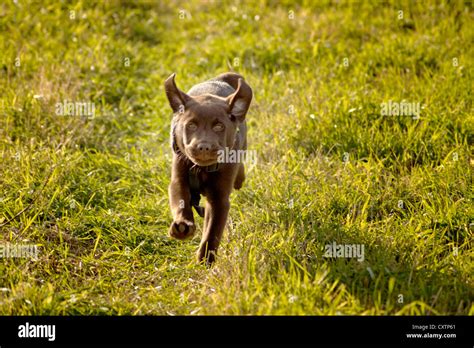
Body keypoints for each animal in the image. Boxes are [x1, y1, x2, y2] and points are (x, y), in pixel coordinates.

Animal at [164, 72, 252, 264]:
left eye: (219, 126)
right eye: (191, 125)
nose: (204, 146)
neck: (201, 169)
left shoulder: (219, 199)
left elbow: (212, 231)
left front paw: (206, 259)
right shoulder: (178, 178)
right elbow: (180, 201)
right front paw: (183, 225)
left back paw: (240, 179)